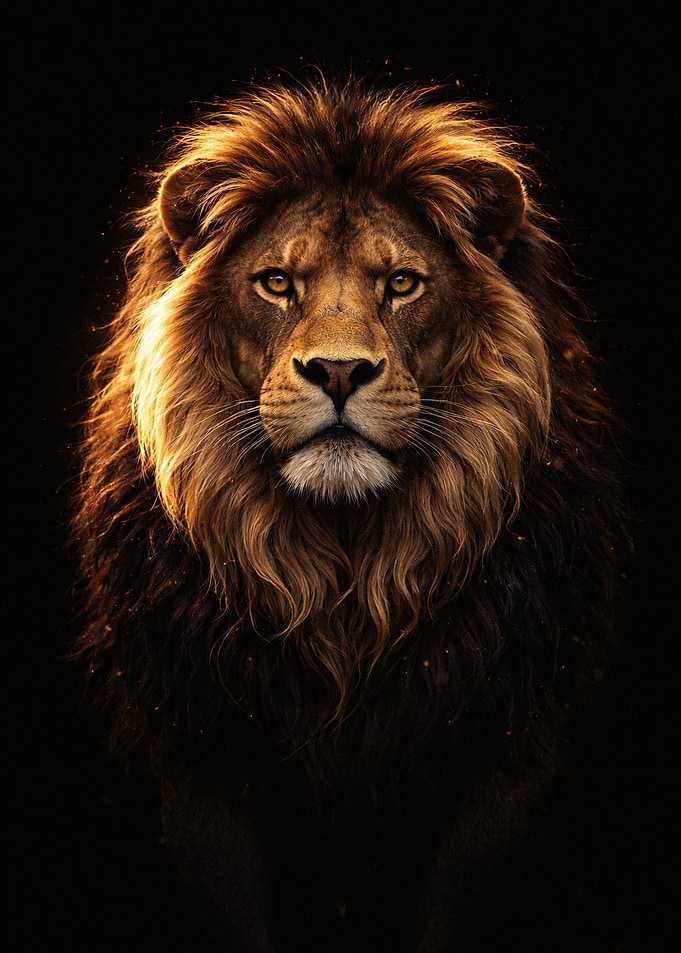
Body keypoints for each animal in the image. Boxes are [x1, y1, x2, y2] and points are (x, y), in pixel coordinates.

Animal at [72, 74, 629, 952]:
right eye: (276, 282)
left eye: (400, 283)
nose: (338, 370)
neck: (348, 574)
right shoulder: (198, 759)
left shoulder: (507, 755)